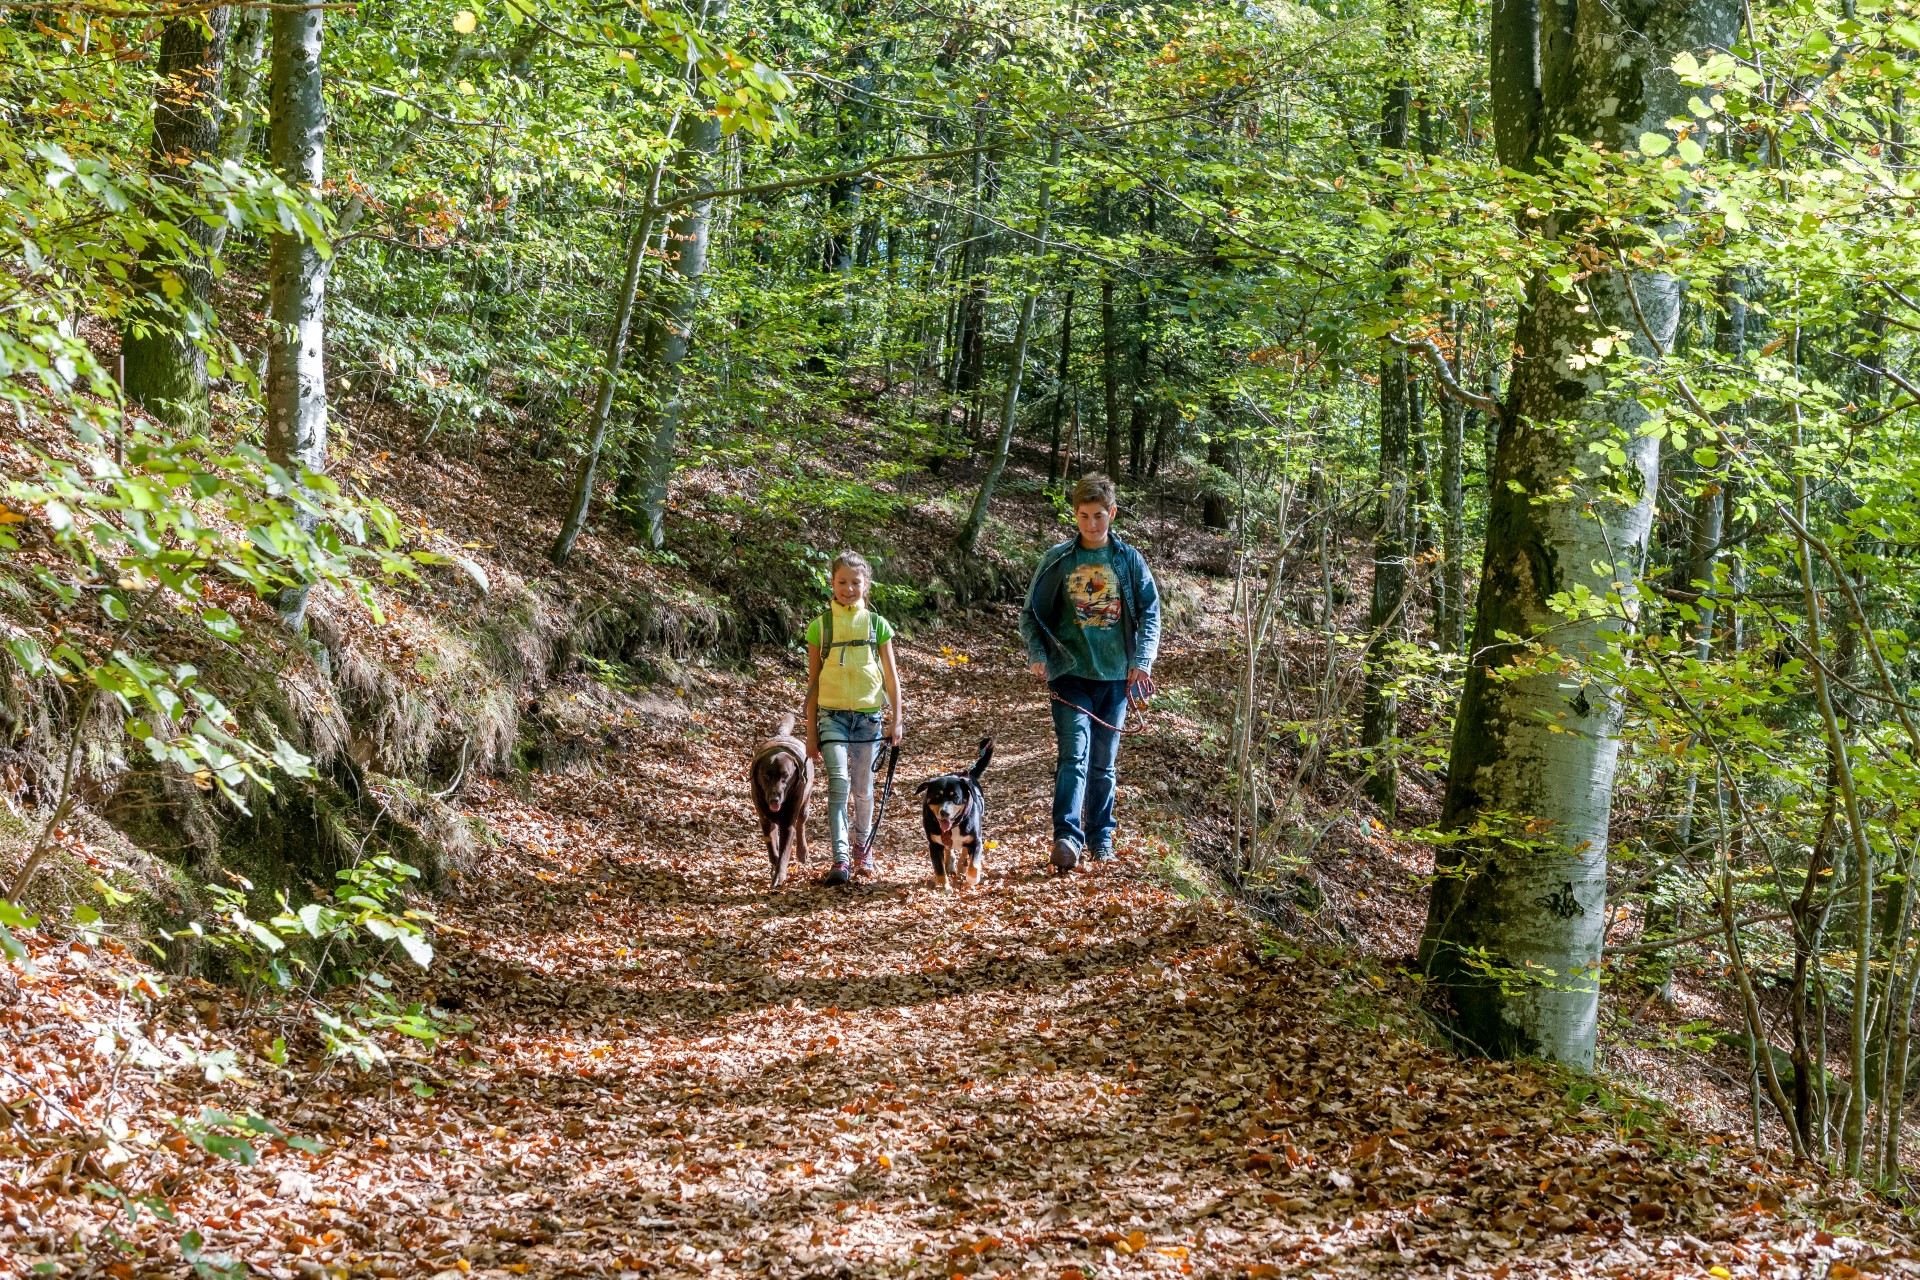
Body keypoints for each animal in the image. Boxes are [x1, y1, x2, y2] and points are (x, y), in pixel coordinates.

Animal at [748, 710, 810, 890]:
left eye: (785, 776)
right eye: (766, 775)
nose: (774, 800)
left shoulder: (787, 824)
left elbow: (784, 853)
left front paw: (779, 877)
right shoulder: (765, 820)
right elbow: (773, 849)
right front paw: (773, 865)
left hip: (805, 804)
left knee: (801, 824)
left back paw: (802, 852)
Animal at [917, 740, 998, 890]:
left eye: (955, 797)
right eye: (937, 796)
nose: (945, 812)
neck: (954, 826)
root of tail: (965, 774)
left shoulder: (976, 841)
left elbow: (974, 864)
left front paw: (972, 878)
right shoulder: (934, 845)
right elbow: (939, 868)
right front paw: (944, 887)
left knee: (965, 851)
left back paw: (961, 865)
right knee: (949, 850)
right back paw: (951, 862)